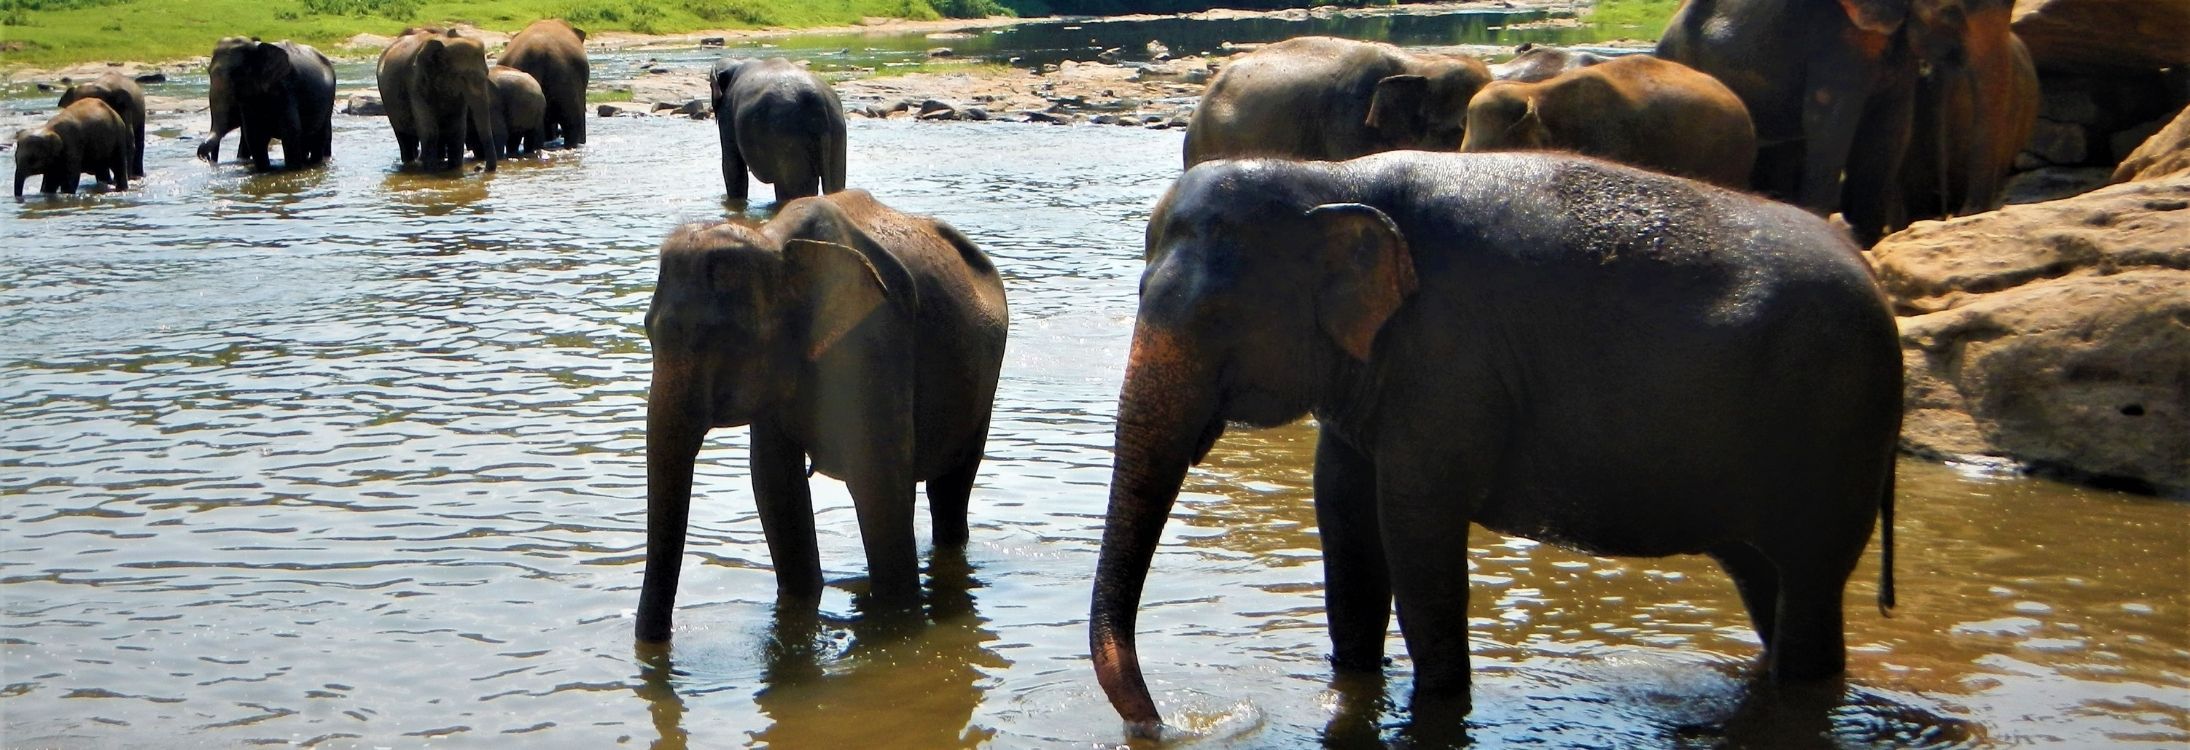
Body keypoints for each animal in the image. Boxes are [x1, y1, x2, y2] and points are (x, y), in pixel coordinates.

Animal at [197, 37, 337, 171]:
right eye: (208, 72)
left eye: (236, 73)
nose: (205, 157)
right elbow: (254, 134)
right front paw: (265, 170)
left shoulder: (286, 88)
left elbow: (290, 131)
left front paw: (292, 170)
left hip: (328, 101)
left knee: (320, 135)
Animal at [377, 28, 497, 172]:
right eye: (461, 77)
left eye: (487, 73)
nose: (479, 168)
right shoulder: (415, 82)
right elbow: (430, 131)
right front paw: (431, 171)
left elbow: (457, 129)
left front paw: (455, 169)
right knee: (405, 140)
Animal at [635, 189, 1009, 642]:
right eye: (648, 330)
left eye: (724, 339)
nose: (659, 641)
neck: (775, 243)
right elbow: (775, 484)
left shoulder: (874, 342)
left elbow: (876, 483)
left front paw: (897, 621)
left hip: (983, 385)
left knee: (952, 487)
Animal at [711, 57, 848, 202]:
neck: (737, 63)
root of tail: (818, 99)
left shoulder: (727, 114)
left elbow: (732, 166)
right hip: (837, 127)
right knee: (835, 181)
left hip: (788, 137)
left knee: (793, 189)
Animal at [1088, 152, 1902, 738]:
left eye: (1218, 317)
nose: (1167, 725)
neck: (1333, 177)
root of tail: (1875, 277)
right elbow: (1345, 524)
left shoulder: (1450, 364)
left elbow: (1416, 534)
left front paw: (1438, 706)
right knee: (1769, 583)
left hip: (1834, 429)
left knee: (1810, 592)